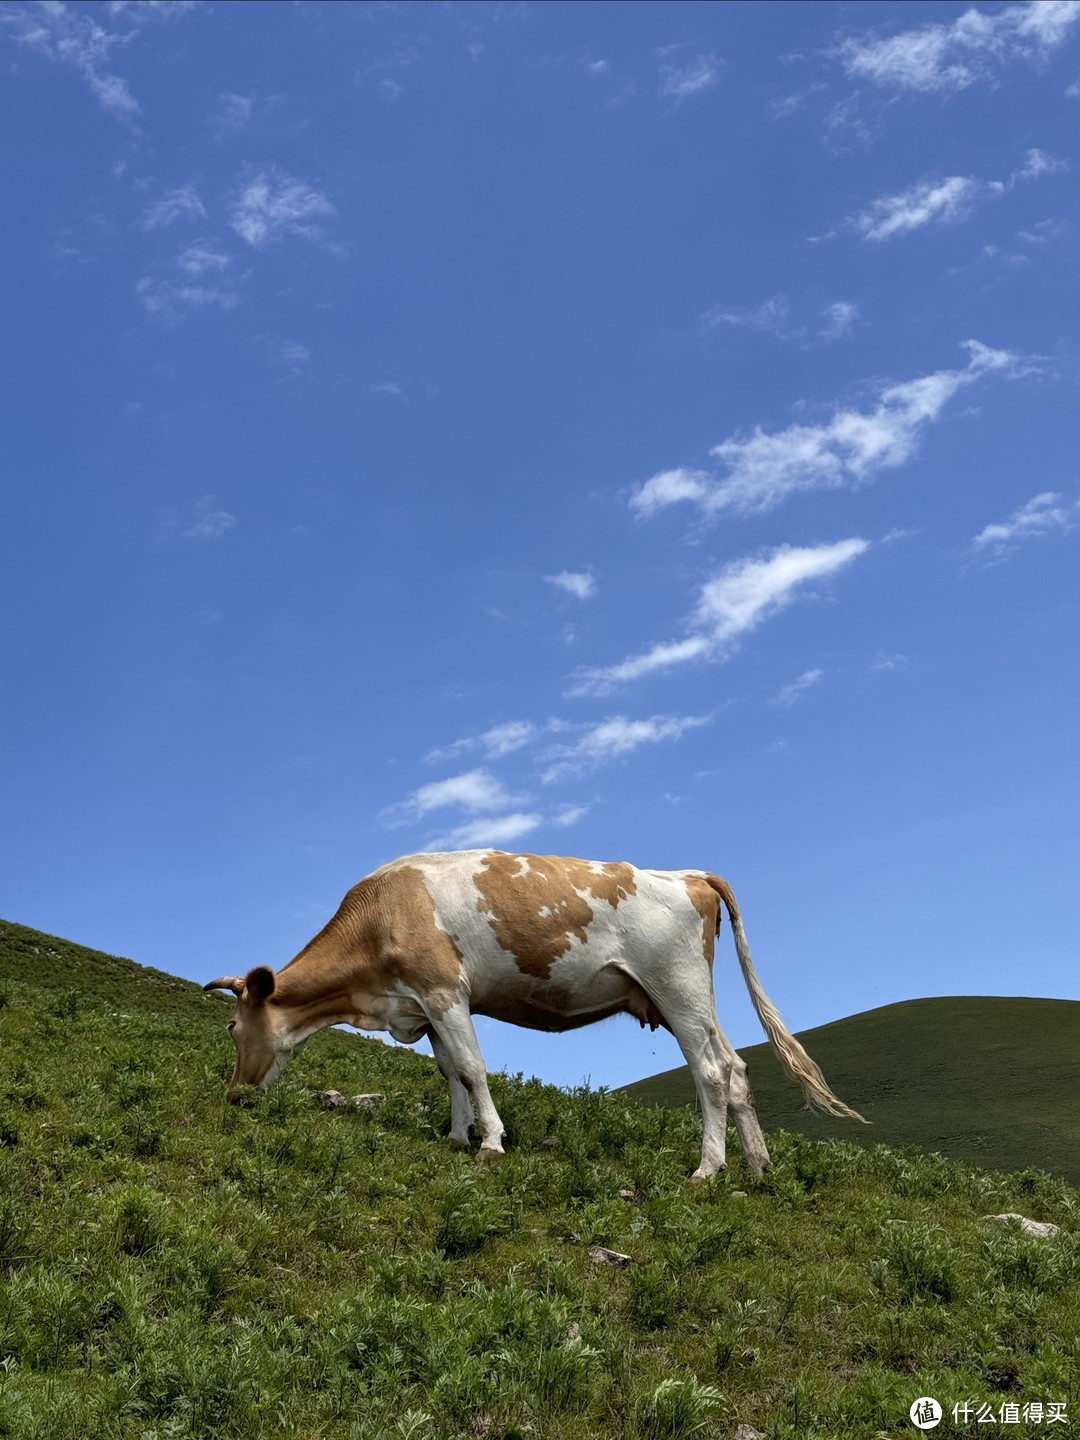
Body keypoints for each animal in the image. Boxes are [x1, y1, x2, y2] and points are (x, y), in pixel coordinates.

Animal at [203, 846, 869, 1175]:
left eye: (233, 1025)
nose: (233, 1095)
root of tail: (690, 874)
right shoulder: (423, 1006)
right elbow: (450, 1071)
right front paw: (456, 1136)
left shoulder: (445, 991)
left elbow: (473, 1069)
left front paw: (492, 1143)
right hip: (696, 1001)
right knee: (735, 1069)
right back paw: (756, 1167)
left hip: (677, 987)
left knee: (709, 1073)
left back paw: (709, 1170)